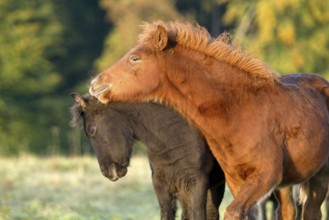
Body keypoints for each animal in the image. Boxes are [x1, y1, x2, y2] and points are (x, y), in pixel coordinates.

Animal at [88, 21, 328, 220]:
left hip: (319, 176)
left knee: (312, 212)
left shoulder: (264, 176)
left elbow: (232, 213)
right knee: (288, 211)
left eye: (135, 58)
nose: (95, 84)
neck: (240, 111)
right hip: (286, 184)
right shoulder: (235, 180)